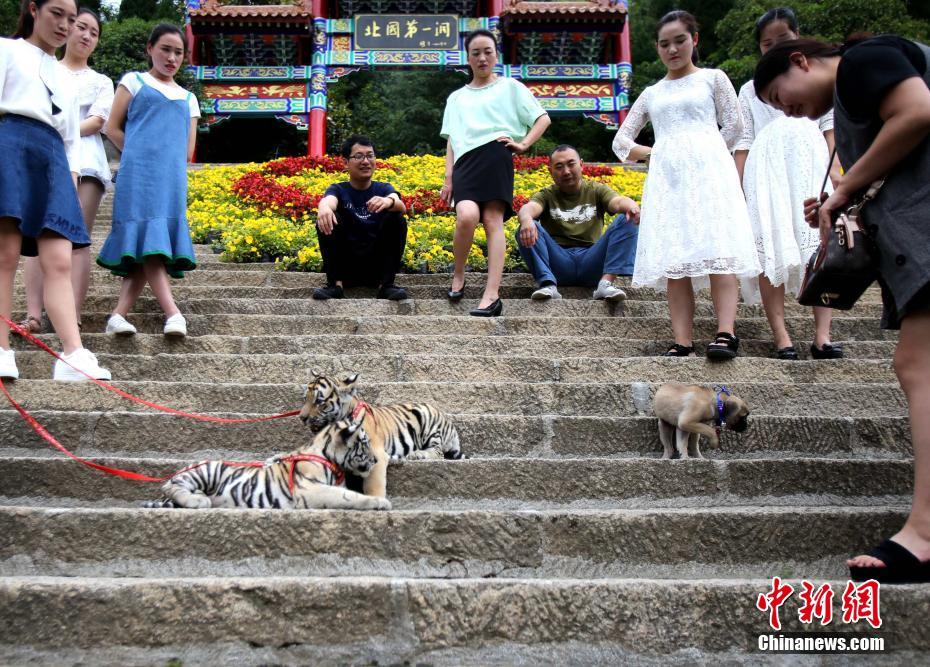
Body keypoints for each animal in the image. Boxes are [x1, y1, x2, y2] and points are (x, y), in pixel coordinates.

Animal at [143, 414, 391, 510]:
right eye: (364, 443)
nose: (376, 459)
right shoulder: (308, 489)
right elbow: (348, 496)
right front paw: (379, 502)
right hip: (207, 470)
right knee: (170, 484)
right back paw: (198, 499)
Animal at [300, 370, 464, 498]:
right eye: (305, 398)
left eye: (319, 401)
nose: (302, 417)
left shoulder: (375, 454)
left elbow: (373, 486)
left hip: (428, 420)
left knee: (438, 452)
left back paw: (418, 454)